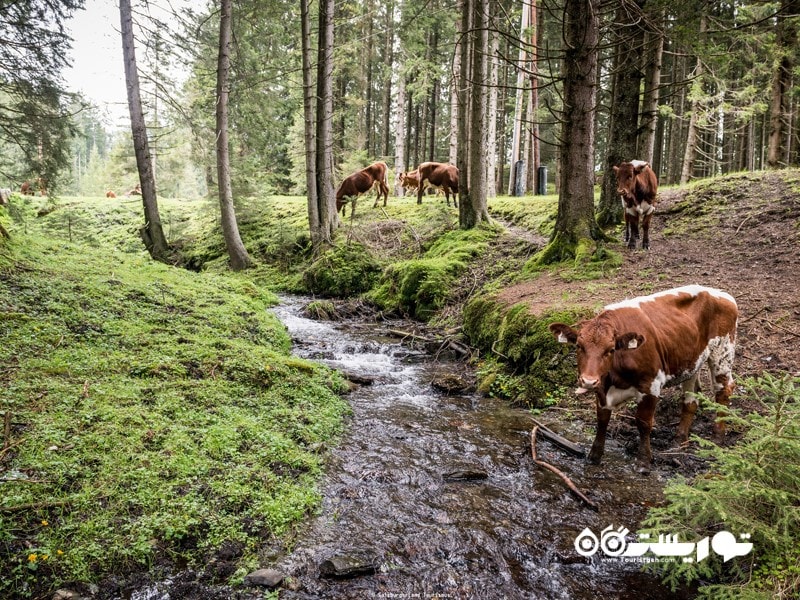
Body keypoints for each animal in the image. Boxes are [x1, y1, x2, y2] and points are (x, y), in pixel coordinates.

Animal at [552, 286, 736, 474]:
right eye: (578, 346)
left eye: (610, 350)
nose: (588, 381)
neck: (614, 379)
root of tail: (718, 292)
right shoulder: (602, 388)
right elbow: (602, 419)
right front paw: (594, 456)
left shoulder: (651, 384)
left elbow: (643, 422)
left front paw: (643, 461)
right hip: (692, 362)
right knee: (691, 400)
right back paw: (680, 439)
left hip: (723, 353)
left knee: (723, 390)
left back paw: (718, 436)